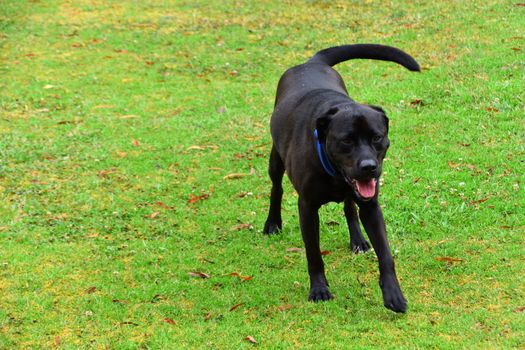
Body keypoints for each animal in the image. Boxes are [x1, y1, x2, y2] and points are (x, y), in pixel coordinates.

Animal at [264, 42, 420, 314]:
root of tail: (311, 62)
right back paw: (272, 223)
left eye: (377, 137)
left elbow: (385, 254)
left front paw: (393, 293)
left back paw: (357, 240)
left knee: (349, 207)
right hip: (276, 160)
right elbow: (314, 253)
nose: (369, 167)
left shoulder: (371, 206)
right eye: (347, 140)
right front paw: (319, 289)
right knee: (277, 188)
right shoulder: (307, 208)